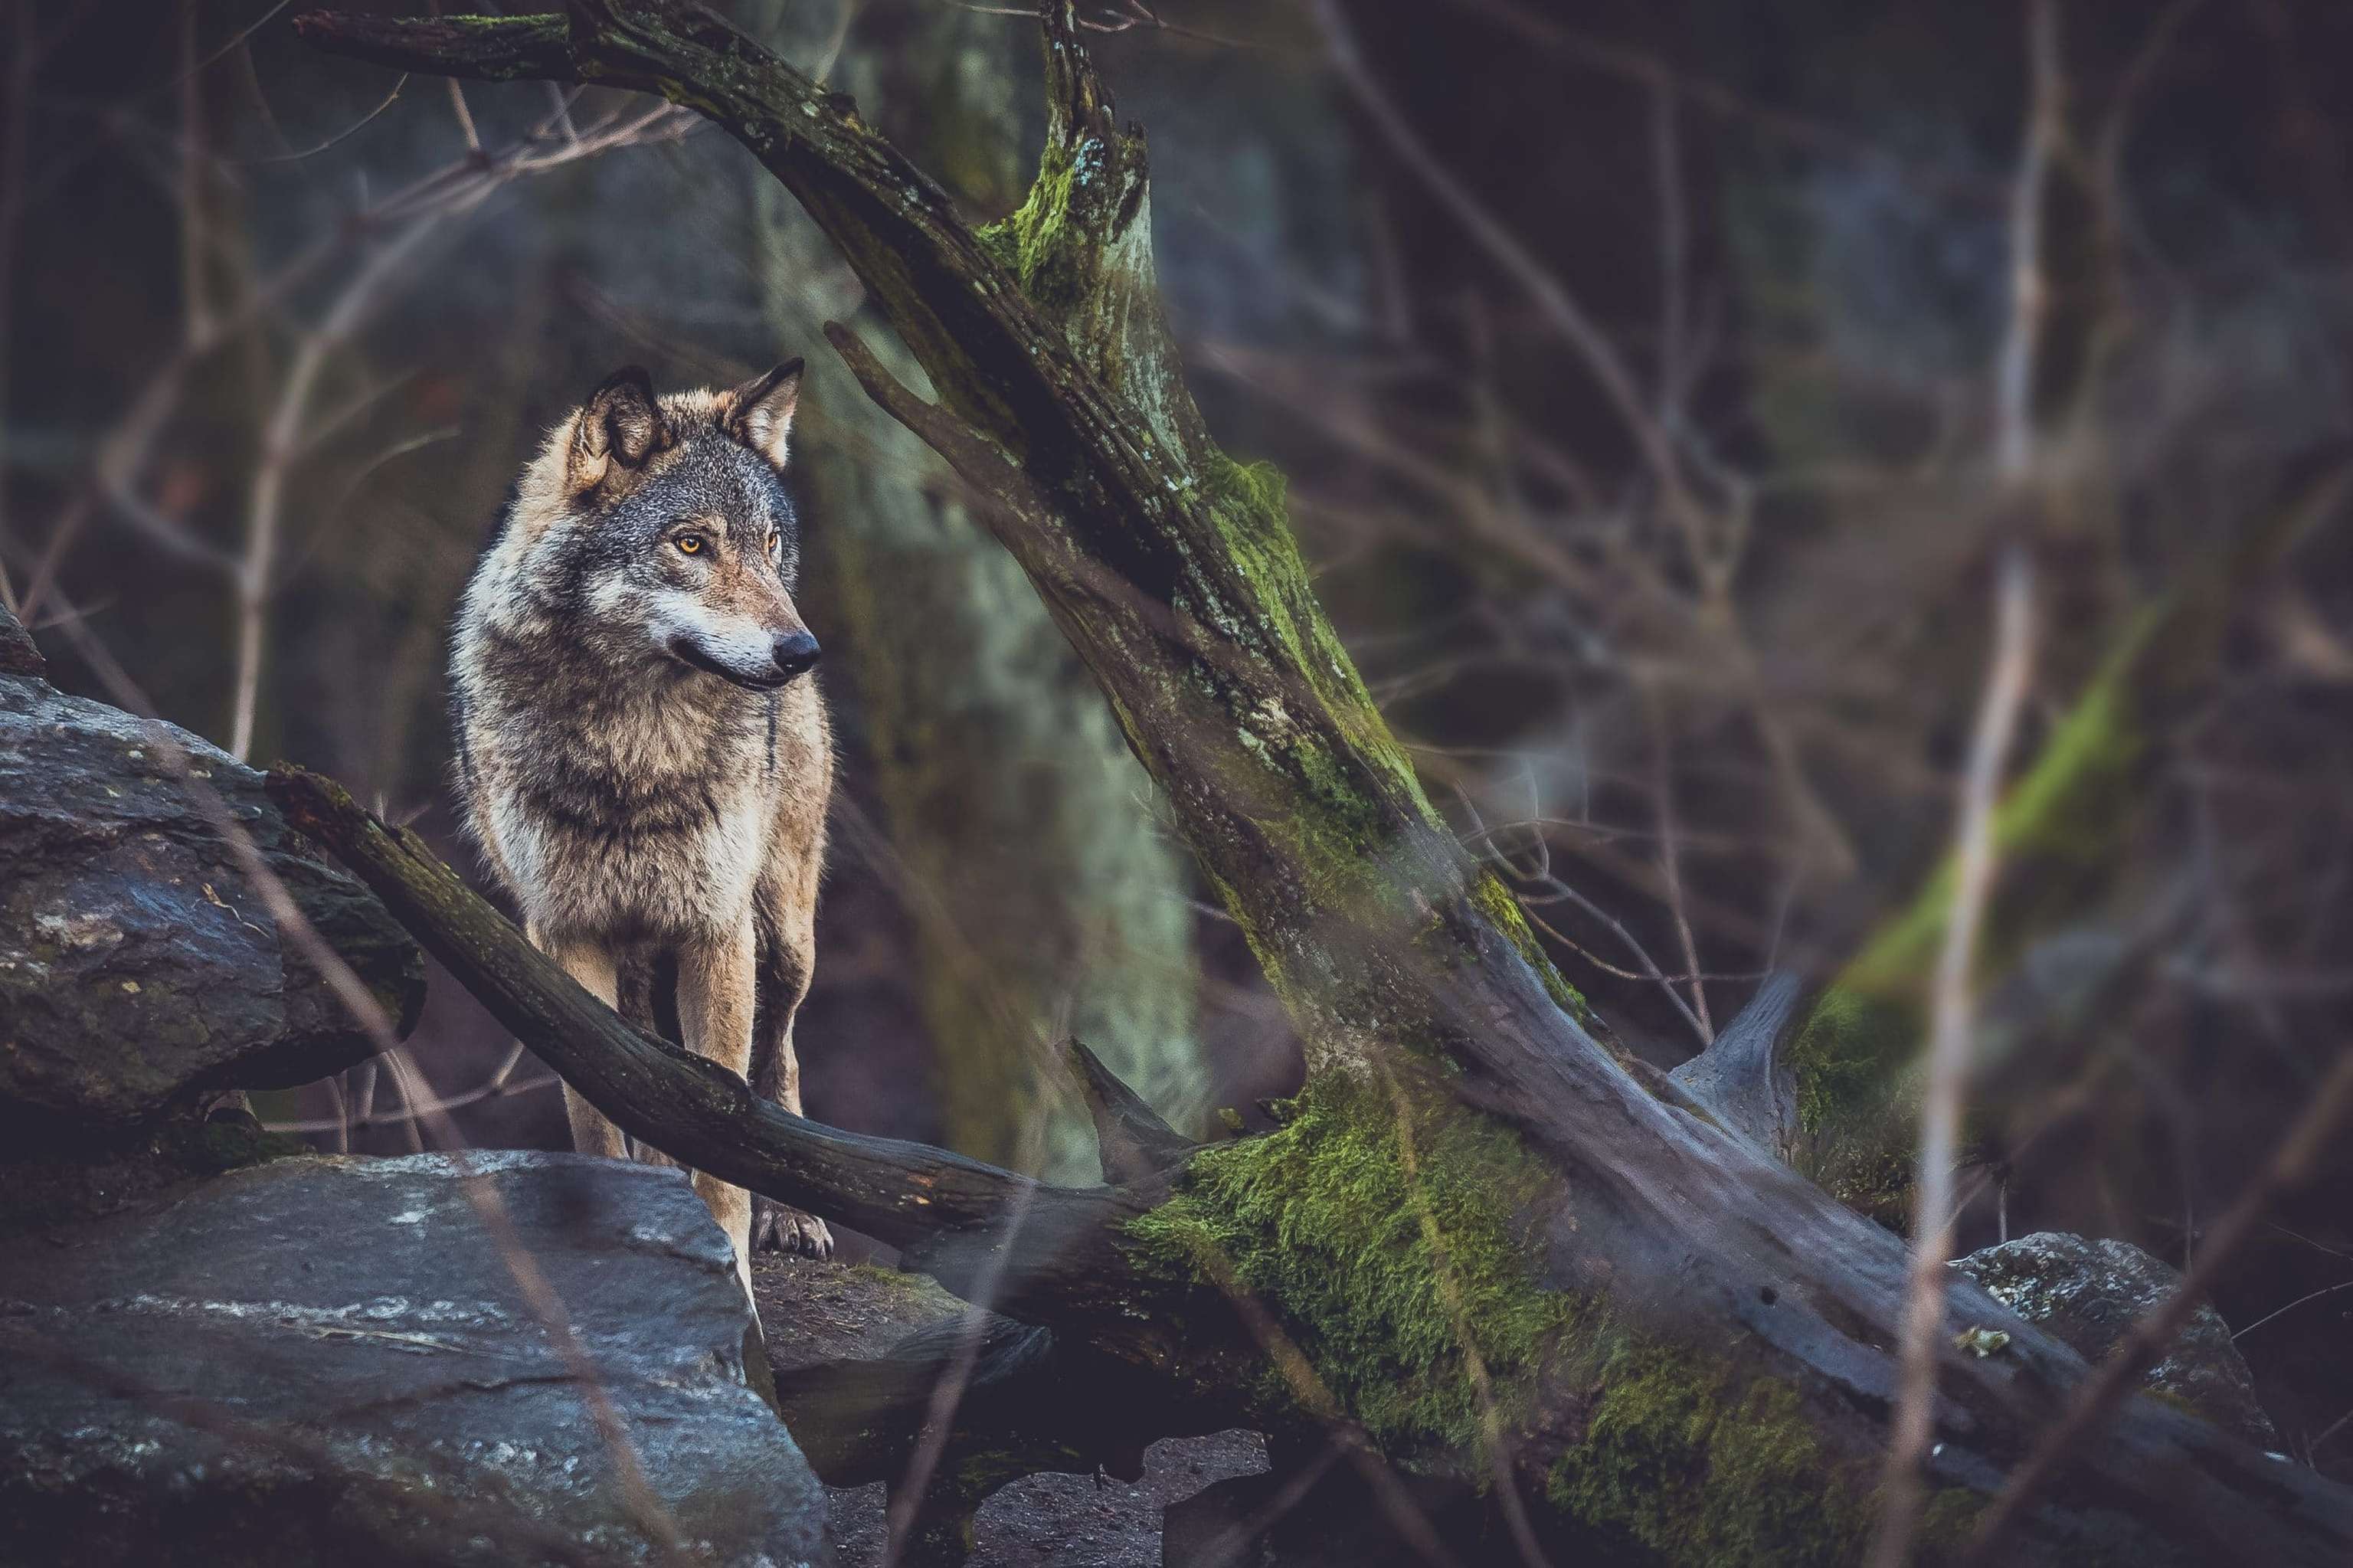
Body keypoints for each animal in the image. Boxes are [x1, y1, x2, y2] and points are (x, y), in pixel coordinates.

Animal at [450, 360, 834, 1293]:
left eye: (770, 543)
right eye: (691, 544)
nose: (802, 650)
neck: (635, 748)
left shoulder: (716, 930)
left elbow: (728, 1128)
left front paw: (732, 1266)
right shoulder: (566, 932)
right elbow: (599, 1115)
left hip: (783, 938)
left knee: (781, 1054)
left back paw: (796, 1217)